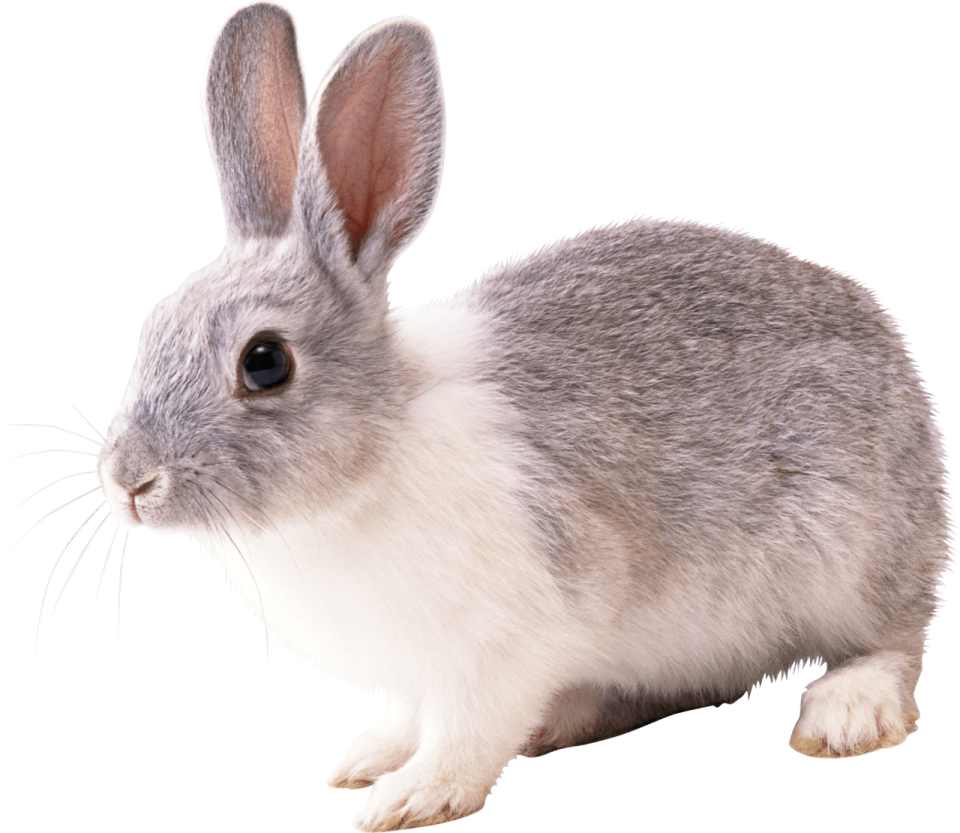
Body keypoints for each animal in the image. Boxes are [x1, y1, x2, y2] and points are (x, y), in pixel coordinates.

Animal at [89, 2, 953, 831]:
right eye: (152, 325)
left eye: (264, 362)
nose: (128, 481)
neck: (374, 452)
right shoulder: (421, 673)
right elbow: (409, 716)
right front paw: (368, 758)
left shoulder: (498, 650)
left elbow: (467, 733)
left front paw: (412, 799)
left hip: (851, 554)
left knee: (896, 639)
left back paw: (846, 713)